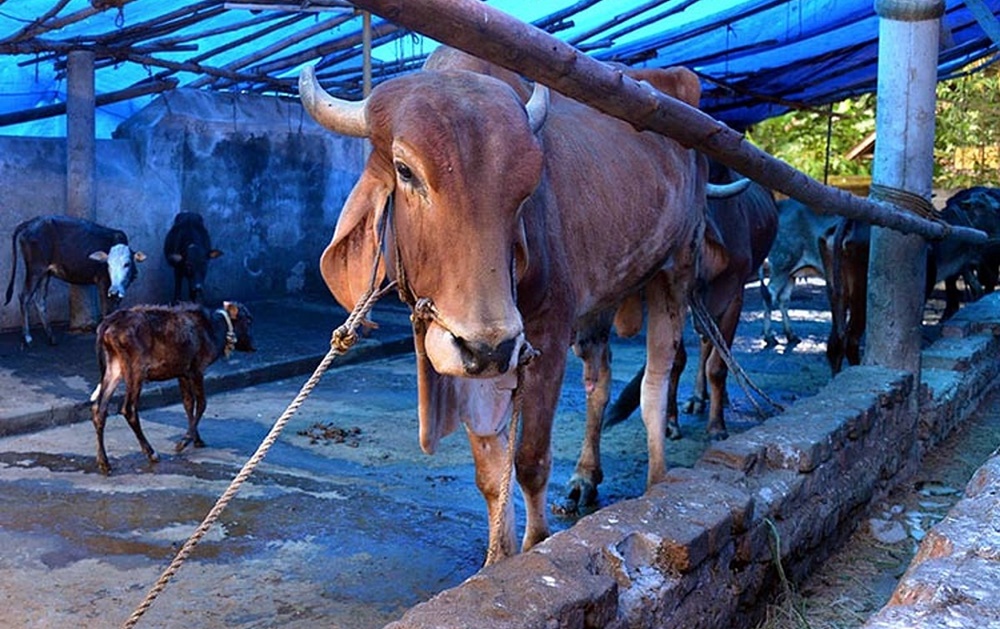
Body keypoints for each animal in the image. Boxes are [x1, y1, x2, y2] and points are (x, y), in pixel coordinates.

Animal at [4, 215, 146, 347]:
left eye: (127, 264)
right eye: (108, 264)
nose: (115, 290)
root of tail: (30, 222)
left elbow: (115, 310)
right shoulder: (103, 281)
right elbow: (107, 310)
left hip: (45, 272)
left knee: (39, 300)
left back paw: (51, 337)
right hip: (35, 268)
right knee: (24, 297)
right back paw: (27, 338)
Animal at [89, 301, 256, 475]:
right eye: (248, 320)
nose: (253, 346)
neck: (215, 332)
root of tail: (107, 324)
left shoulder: (182, 372)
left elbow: (188, 404)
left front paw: (197, 439)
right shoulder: (197, 369)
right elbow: (202, 404)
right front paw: (184, 441)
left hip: (114, 368)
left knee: (99, 409)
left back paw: (103, 462)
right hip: (136, 370)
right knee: (128, 409)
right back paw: (151, 453)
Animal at [300, 46, 713, 564]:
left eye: (528, 186)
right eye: (405, 170)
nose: (488, 348)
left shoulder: (545, 334)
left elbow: (529, 458)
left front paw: (535, 546)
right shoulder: (473, 353)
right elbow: (491, 473)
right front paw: (498, 557)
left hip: (675, 270)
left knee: (655, 383)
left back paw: (658, 482)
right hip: (600, 304)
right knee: (599, 384)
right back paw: (585, 477)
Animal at [760, 197, 839, 346]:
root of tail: (780, 205)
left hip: (790, 273)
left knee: (783, 299)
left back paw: (791, 335)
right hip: (782, 264)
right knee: (770, 293)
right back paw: (769, 336)